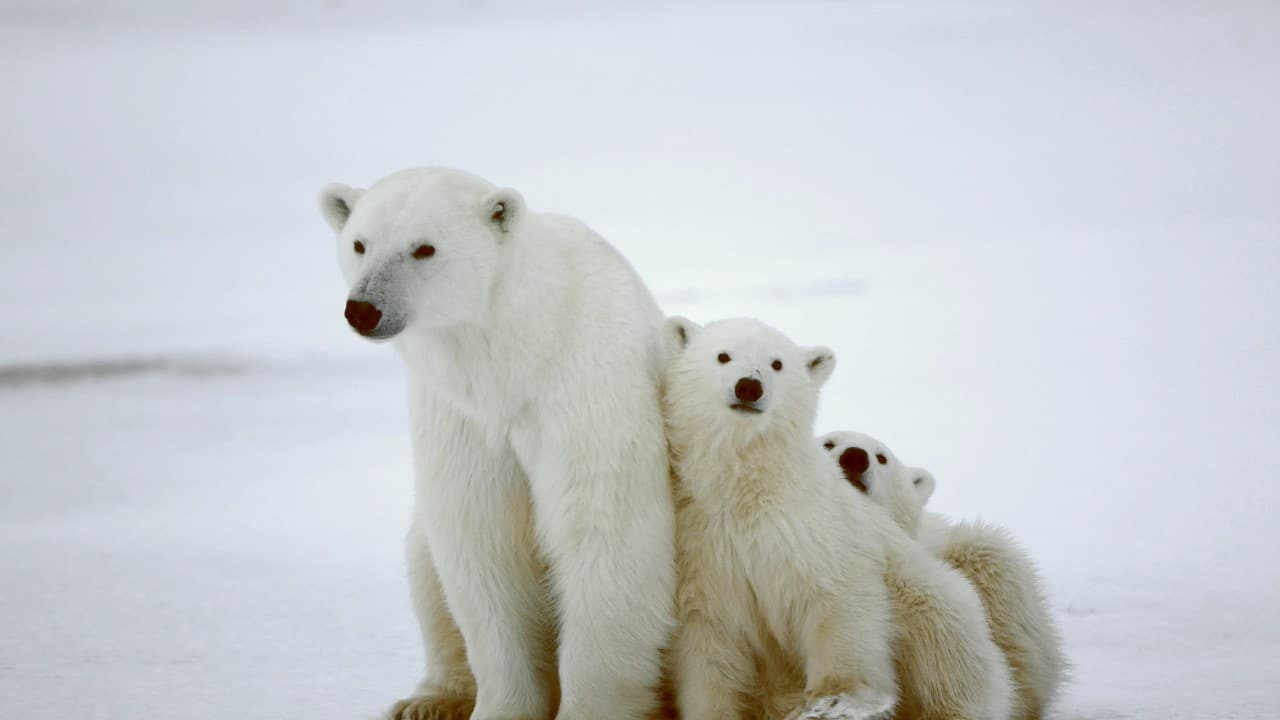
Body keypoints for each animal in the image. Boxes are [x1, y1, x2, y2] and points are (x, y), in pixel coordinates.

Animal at [319, 168, 676, 720]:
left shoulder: (586, 387)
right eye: (359, 243)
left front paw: (585, 708)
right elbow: (482, 539)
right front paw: (502, 707)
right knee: (425, 566)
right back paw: (427, 700)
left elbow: (605, 529)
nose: (363, 310)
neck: (517, 354)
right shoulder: (462, 415)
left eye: (424, 248)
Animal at [661, 316, 1013, 720]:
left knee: (945, 663)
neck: (749, 489)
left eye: (777, 363)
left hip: (933, 604)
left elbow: (840, 600)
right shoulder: (706, 546)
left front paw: (833, 700)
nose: (749, 386)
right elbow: (710, 639)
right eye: (723, 355)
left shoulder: (817, 528)